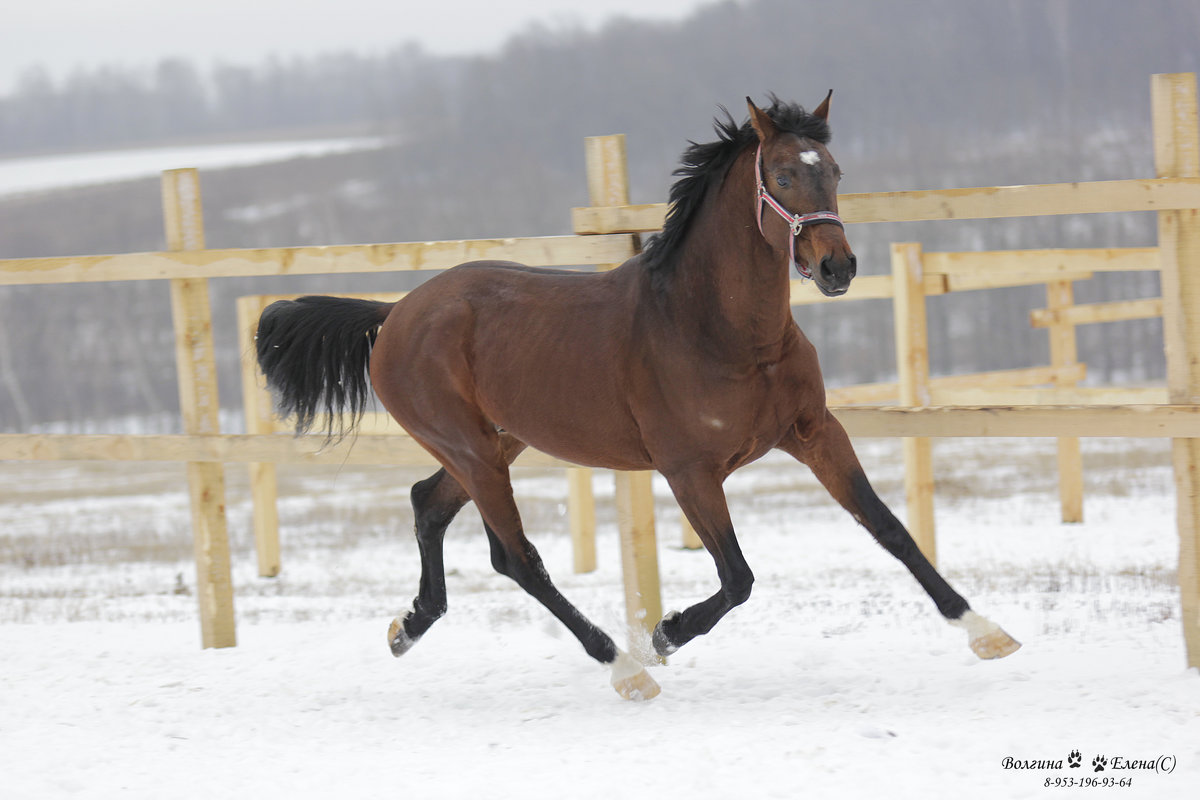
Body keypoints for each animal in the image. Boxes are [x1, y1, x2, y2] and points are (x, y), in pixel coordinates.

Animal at [255, 94, 1022, 700]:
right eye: (781, 174)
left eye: (832, 171)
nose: (837, 267)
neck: (721, 333)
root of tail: (393, 317)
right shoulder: (689, 471)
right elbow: (738, 576)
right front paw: (664, 633)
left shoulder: (813, 433)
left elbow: (890, 529)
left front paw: (988, 632)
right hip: (473, 449)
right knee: (517, 558)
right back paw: (625, 669)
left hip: (497, 441)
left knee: (428, 505)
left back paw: (407, 626)